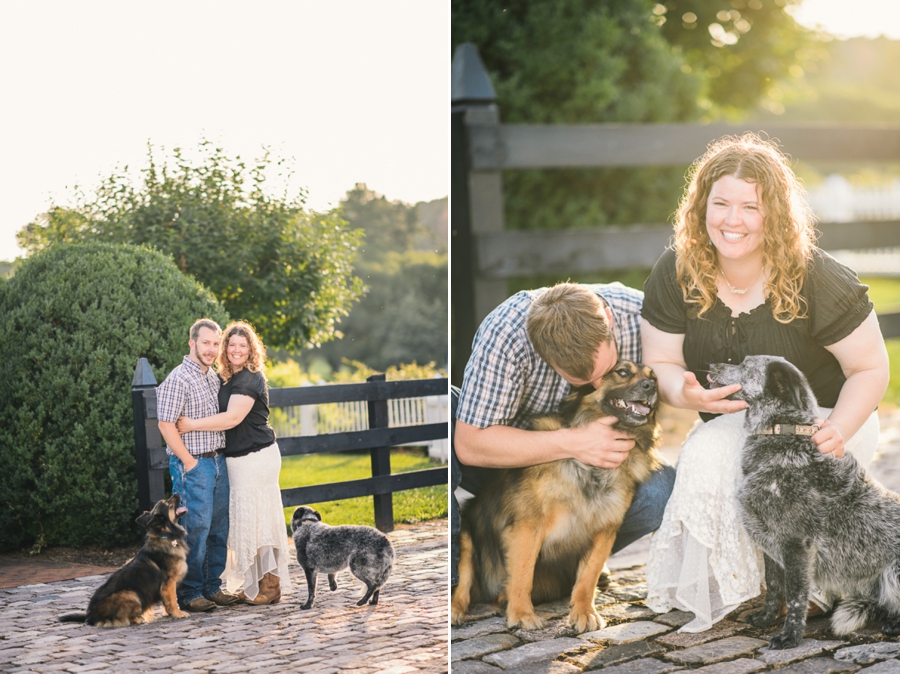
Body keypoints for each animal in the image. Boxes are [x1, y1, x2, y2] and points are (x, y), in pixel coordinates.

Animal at [57, 494, 190, 624]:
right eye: (168, 502)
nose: (177, 493)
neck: (165, 535)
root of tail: (90, 615)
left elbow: (166, 601)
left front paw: (169, 613)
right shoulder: (169, 582)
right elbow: (173, 600)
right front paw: (178, 613)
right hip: (131, 593)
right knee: (125, 618)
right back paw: (139, 619)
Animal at [450, 362, 660, 632]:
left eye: (654, 377)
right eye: (622, 372)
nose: (651, 386)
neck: (591, 469)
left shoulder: (606, 528)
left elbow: (588, 576)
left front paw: (584, 612)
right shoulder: (528, 525)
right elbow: (523, 572)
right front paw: (522, 614)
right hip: (467, 535)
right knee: (463, 585)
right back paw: (457, 609)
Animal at [708, 354, 900, 648]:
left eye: (745, 364)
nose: (710, 366)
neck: (782, 435)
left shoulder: (796, 544)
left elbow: (796, 595)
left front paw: (790, 636)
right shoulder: (769, 543)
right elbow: (774, 587)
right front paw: (765, 618)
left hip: (894, 572)